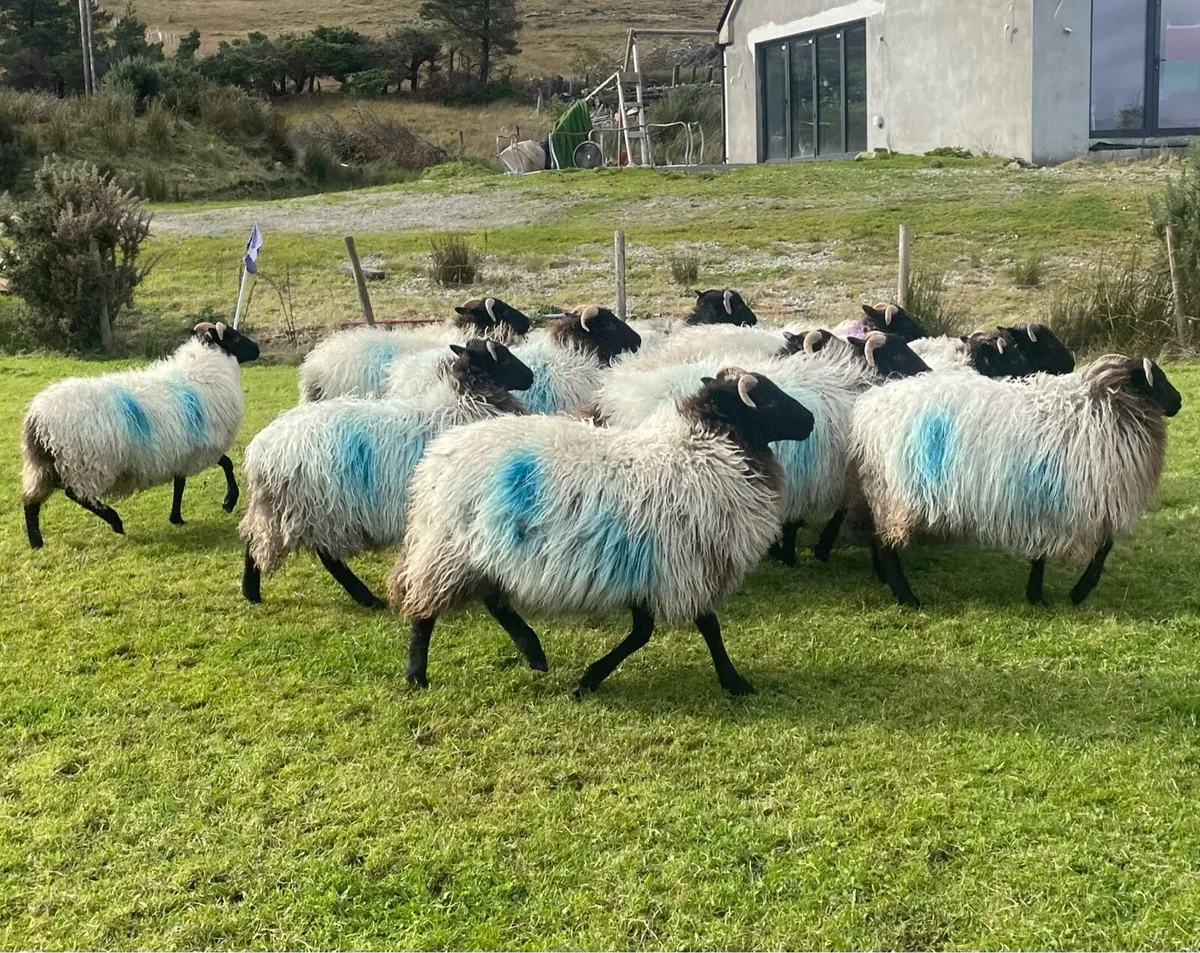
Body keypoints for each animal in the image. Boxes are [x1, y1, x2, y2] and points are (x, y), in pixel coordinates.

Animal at [21, 322, 260, 549]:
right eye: (234, 337)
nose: (257, 349)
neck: (205, 368)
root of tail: (37, 419)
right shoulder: (206, 446)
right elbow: (227, 464)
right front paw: (229, 501)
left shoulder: (181, 450)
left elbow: (180, 483)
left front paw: (176, 517)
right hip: (85, 463)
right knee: (76, 494)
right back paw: (115, 522)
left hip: (45, 466)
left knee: (30, 501)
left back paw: (36, 543)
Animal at [239, 339, 534, 608]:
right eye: (503, 356)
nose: (530, 376)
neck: (466, 402)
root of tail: (260, 451)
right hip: (317, 508)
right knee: (320, 556)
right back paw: (364, 597)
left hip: (292, 509)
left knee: (257, 539)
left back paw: (252, 592)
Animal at [388, 368, 816, 697]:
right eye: (768, 398)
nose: (810, 420)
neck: (701, 448)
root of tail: (437, 456)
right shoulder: (681, 564)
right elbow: (702, 627)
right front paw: (734, 682)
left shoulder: (649, 567)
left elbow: (644, 631)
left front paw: (589, 679)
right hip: (447, 548)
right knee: (427, 612)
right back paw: (416, 676)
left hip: (481, 552)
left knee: (493, 600)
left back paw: (533, 652)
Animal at [852, 354, 1182, 609]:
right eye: (1156, 380)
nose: (1179, 401)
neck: (1102, 409)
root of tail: (870, 407)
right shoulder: (1076, 504)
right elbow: (1103, 548)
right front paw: (1074, 592)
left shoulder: (1048, 504)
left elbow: (1051, 553)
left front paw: (1037, 594)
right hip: (896, 495)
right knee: (884, 544)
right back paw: (907, 597)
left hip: (884, 492)